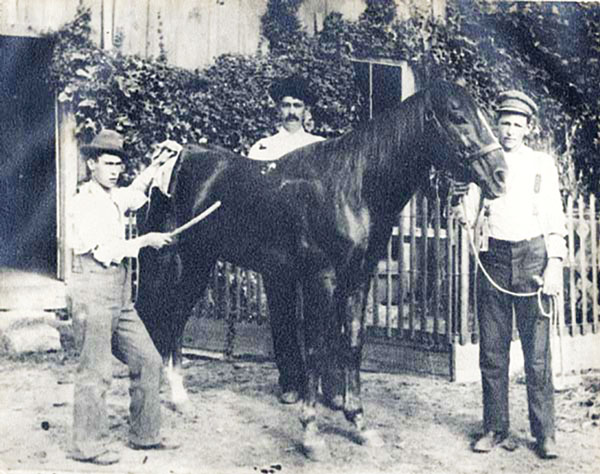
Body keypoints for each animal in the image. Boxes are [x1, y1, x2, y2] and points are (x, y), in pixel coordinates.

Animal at [136, 80, 506, 460]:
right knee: (166, 317)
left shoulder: (359, 279)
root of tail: (179, 157)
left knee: (175, 319)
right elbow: (315, 347)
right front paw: (311, 433)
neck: (353, 187)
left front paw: (359, 424)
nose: (500, 175)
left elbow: (352, 344)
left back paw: (179, 397)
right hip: (178, 262)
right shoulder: (322, 279)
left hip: (199, 262)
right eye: (457, 116)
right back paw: (174, 396)